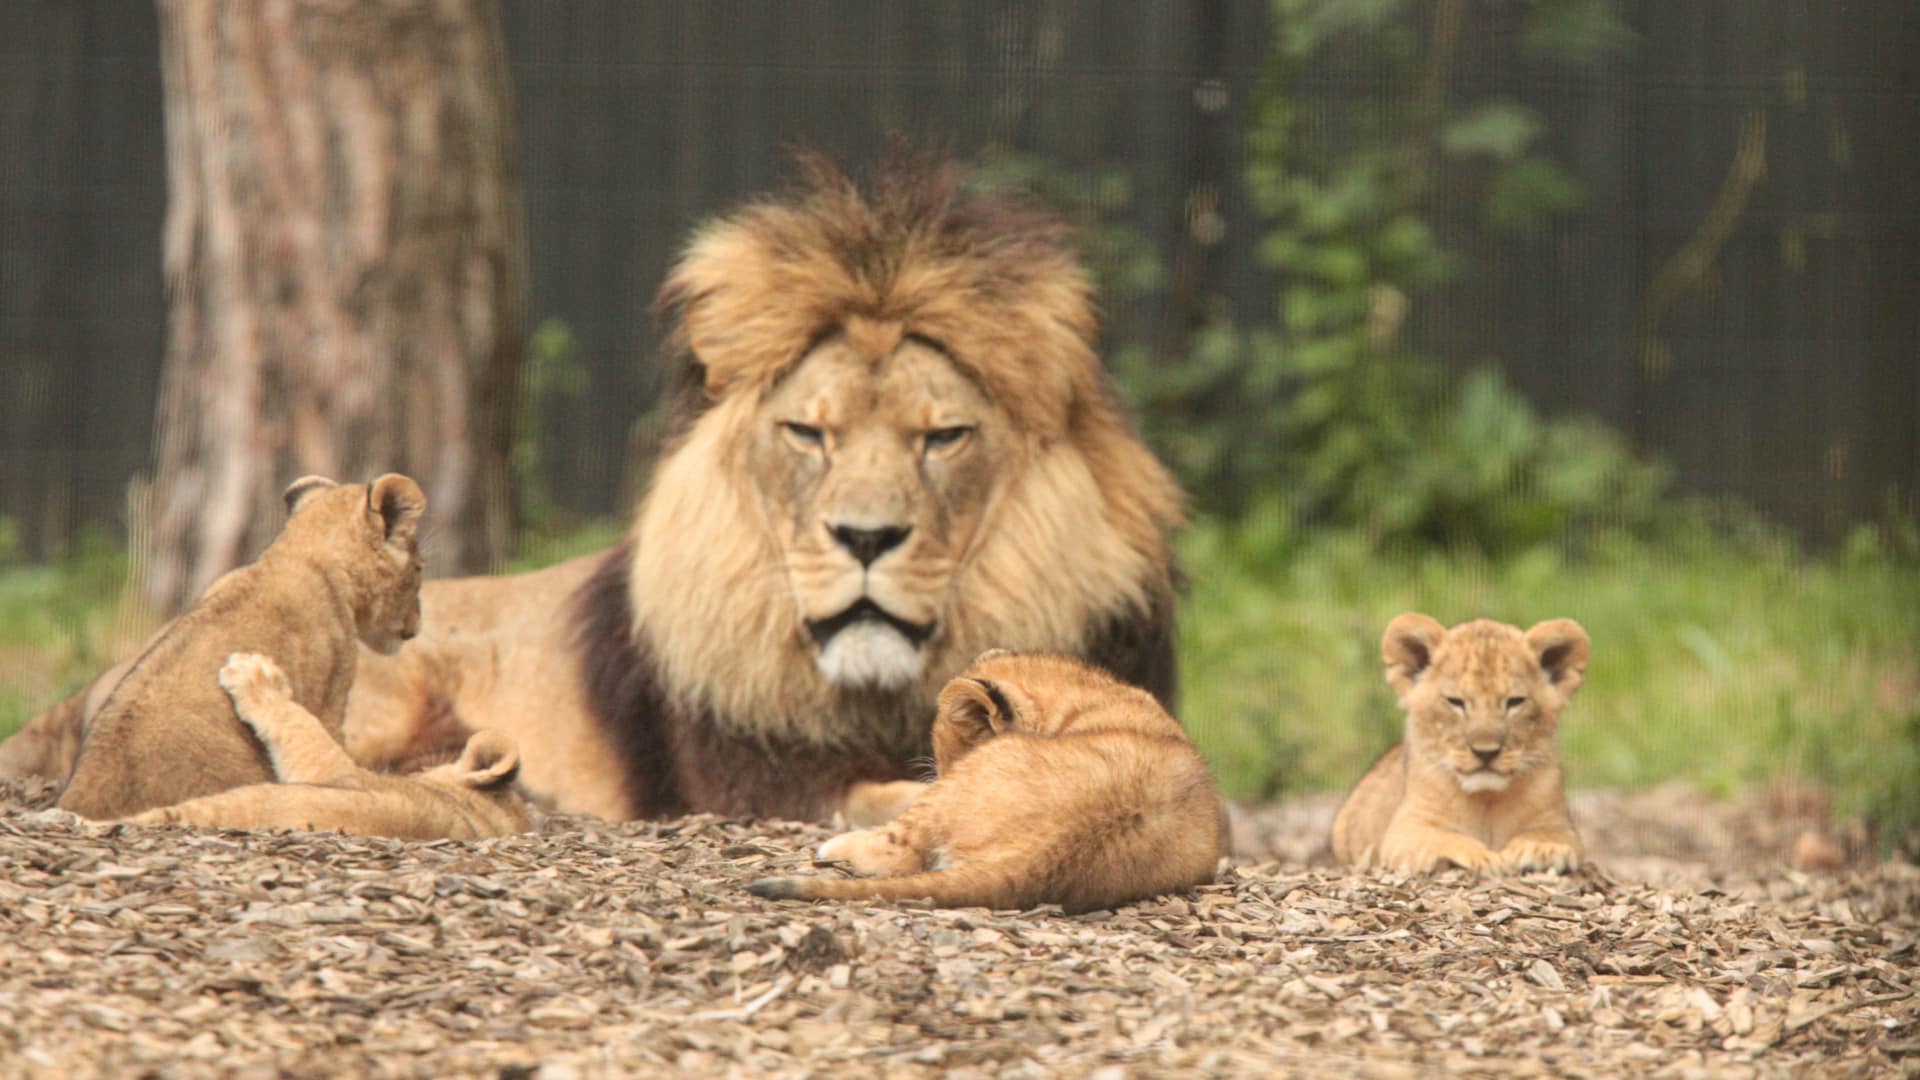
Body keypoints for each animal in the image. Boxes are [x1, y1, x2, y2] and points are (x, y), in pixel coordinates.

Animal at [1336, 611, 1589, 868]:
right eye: (1455, 701)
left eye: (1515, 701)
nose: (1486, 752)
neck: (1486, 801)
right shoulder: (1407, 827)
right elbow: (1442, 839)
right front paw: (1478, 856)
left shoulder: (1560, 823)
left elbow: (1550, 834)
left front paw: (1541, 847)